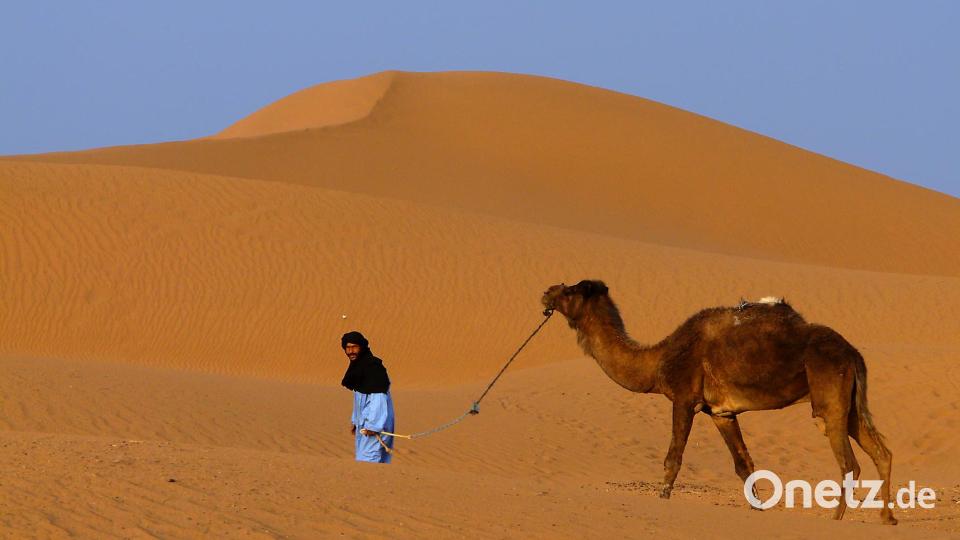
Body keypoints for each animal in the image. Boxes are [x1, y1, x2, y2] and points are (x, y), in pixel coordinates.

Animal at [541, 280, 896, 524]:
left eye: (573, 290)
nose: (547, 292)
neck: (658, 359)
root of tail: (853, 353)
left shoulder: (684, 398)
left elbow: (673, 458)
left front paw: (662, 498)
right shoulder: (721, 413)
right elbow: (744, 465)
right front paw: (757, 508)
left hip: (829, 395)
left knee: (848, 462)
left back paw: (836, 519)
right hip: (850, 403)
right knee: (881, 452)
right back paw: (887, 518)